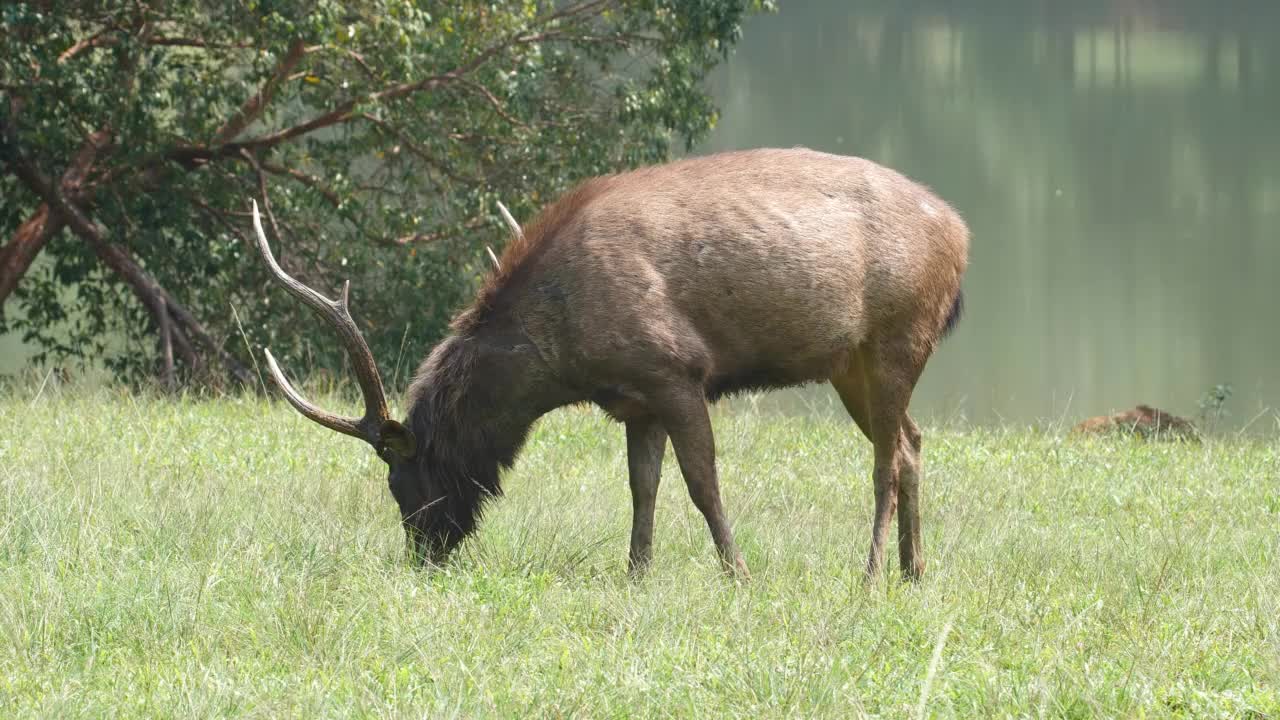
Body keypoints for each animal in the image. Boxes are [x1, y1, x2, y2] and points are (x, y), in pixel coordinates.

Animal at [252, 146, 967, 576]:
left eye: (404, 484)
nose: (423, 558)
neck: (564, 360)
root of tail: (961, 235)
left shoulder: (675, 370)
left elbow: (702, 483)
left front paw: (737, 573)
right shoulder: (635, 400)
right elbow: (641, 487)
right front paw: (637, 573)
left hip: (898, 337)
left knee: (885, 460)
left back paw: (871, 575)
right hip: (851, 365)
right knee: (911, 442)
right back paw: (913, 572)